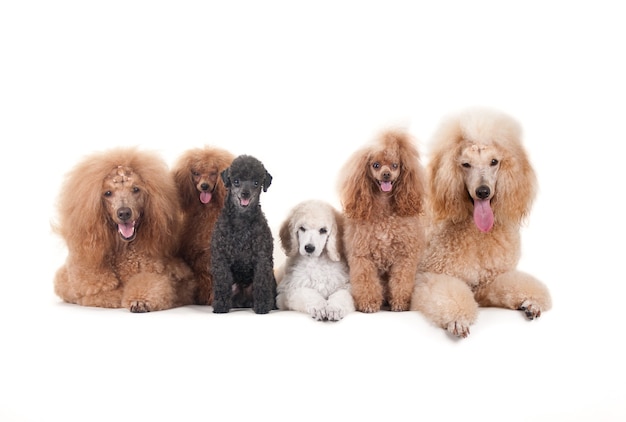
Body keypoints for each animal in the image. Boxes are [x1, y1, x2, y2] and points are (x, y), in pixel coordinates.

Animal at [53, 147, 195, 312]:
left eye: (135, 189)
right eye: (108, 193)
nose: (124, 213)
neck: (124, 249)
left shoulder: (174, 276)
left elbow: (155, 284)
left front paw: (139, 301)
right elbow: (98, 292)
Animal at [336, 130, 428, 312]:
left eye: (395, 165)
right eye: (376, 165)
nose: (386, 174)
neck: (384, 209)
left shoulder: (404, 255)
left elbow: (401, 280)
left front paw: (400, 302)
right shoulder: (362, 255)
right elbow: (366, 280)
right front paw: (368, 303)